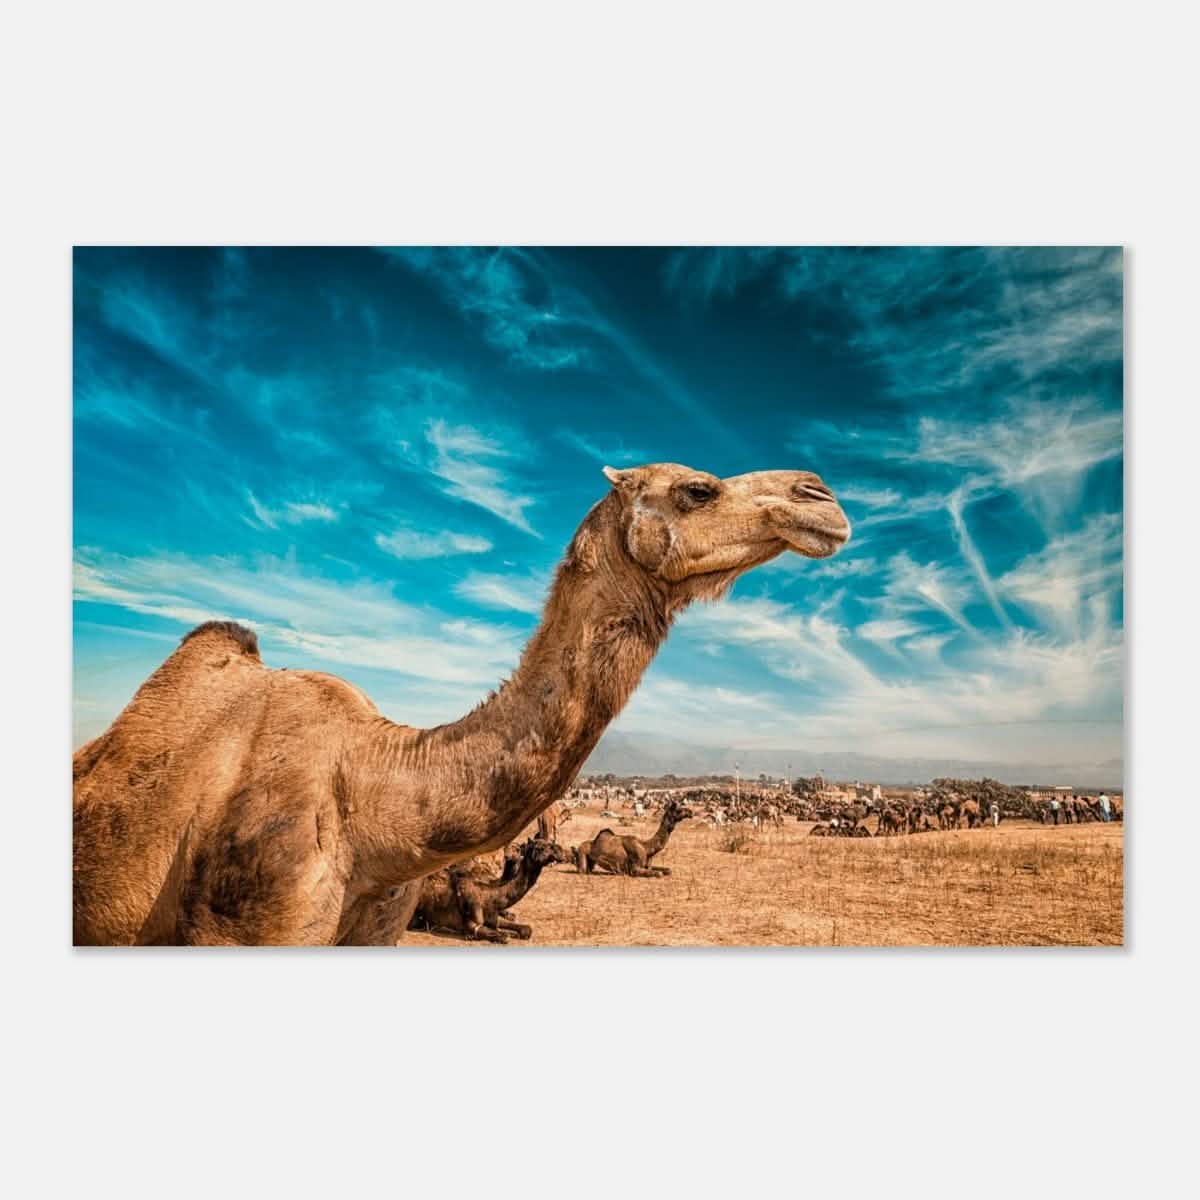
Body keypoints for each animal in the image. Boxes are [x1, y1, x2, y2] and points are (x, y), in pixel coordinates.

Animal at [408, 837, 569, 943]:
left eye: (550, 843)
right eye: (540, 847)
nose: (560, 851)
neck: (490, 895)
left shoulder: (493, 916)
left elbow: (525, 929)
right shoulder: (473, 923)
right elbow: (503, 936)